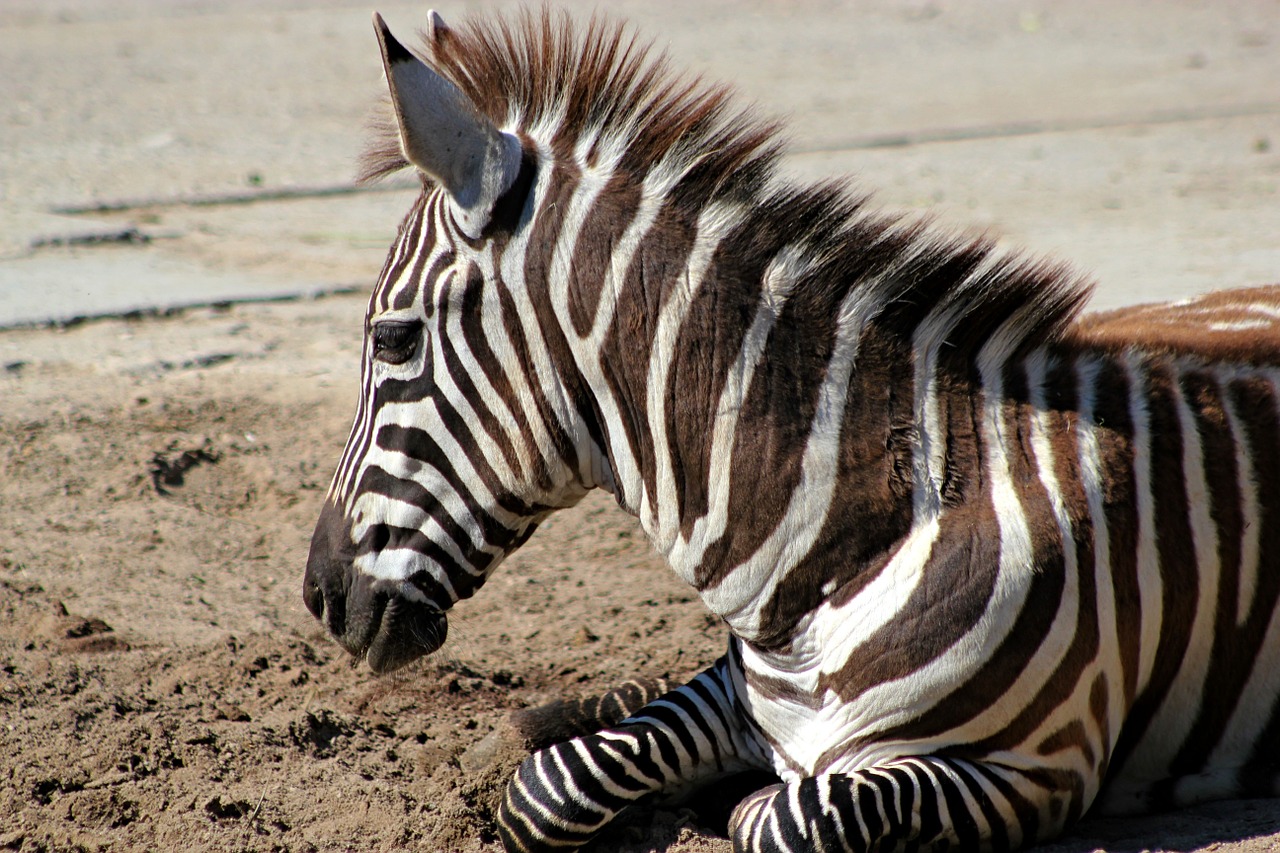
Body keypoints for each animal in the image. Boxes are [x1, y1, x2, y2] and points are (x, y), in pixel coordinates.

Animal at [302, 8, 1280, 850]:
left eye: (393, 339)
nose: (320, 595)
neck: (841, 542)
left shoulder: (1030, 769)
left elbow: (781, 815)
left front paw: (724, 796)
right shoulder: (734, 694)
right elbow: (549, 786)